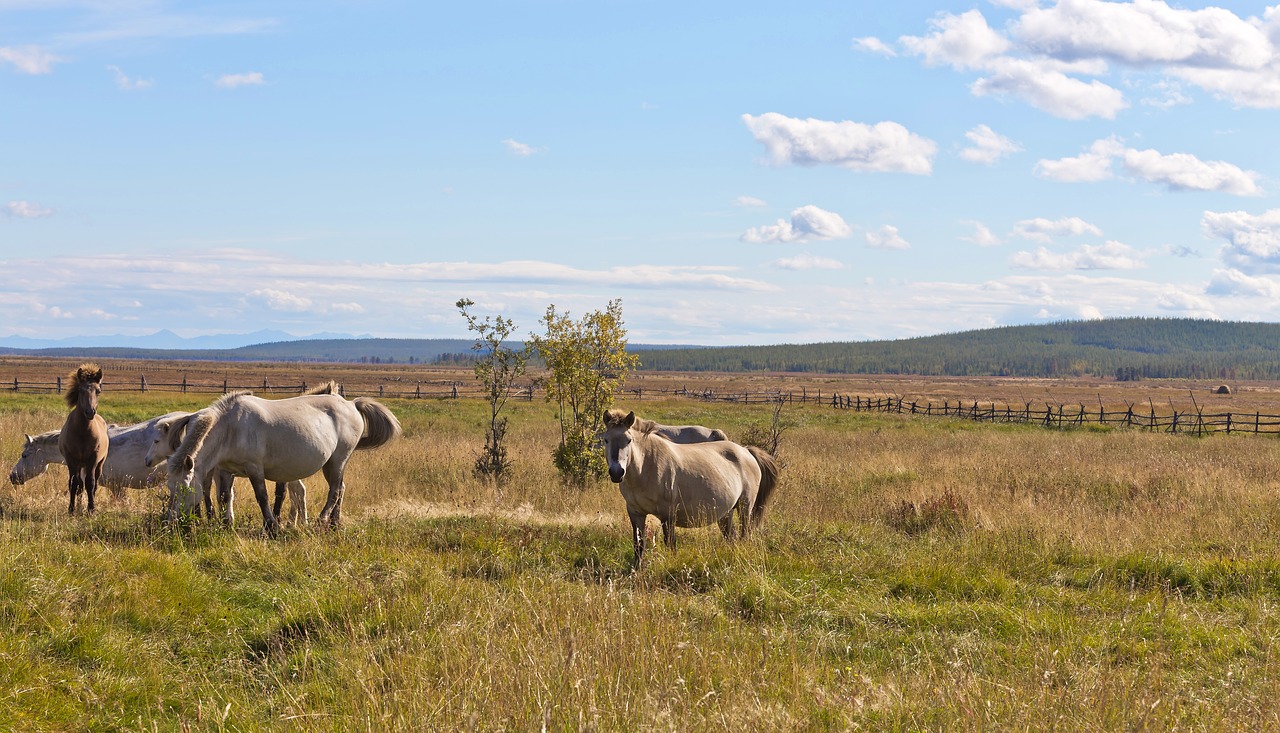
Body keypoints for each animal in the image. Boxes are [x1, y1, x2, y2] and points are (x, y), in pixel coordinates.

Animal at [57, 360, 110, 511]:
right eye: (81, 390)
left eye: (98, 391)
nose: (90, 412)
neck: (82, 433)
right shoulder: (71, 459)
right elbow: (73, 483)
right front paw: (71, 509)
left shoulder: (93, 459)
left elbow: (90, 483)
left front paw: (91, 509)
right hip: (80, 465)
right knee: (80, 485)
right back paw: (79, 506)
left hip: (98, 464)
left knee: (94, 483)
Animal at [163, 388, 399, 532]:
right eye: (170, 488)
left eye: (184, 487)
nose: (170, 521)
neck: (230, 428)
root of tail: (351, 405)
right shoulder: (225, 470)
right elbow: (224, 496)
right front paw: (225, 525)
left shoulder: (255, 469)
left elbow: (262, 497)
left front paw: (271, 526)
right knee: (340, 488)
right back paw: (334, 523)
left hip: (337, 461)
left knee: (335, 490)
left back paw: (322, 520)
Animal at [599, 409, 778, 567]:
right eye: (606, 440)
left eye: (629, 440)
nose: (617, 472)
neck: (646, 467)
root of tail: (746, 451)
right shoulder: (635, 513)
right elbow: (638, 544)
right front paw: (637, 570)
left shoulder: (668, 514)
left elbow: (670, 543)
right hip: (726, 513)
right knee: (731, 537)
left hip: (745, 507)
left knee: (744, 534)